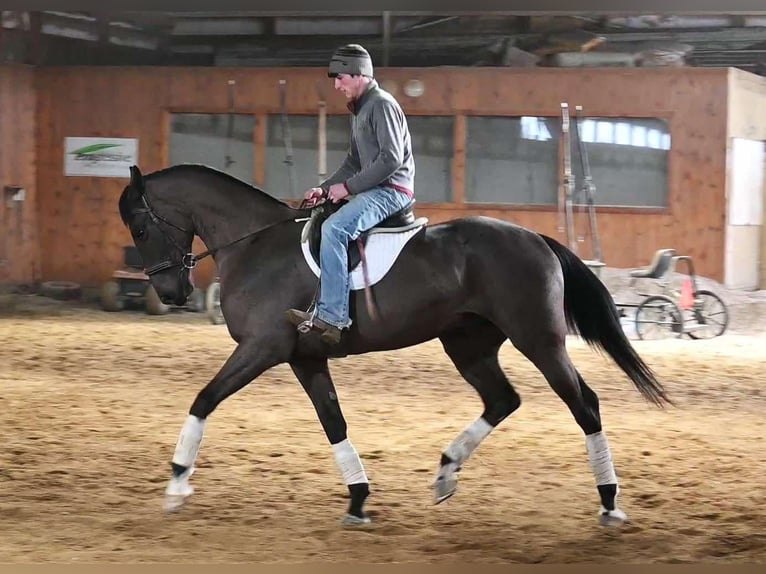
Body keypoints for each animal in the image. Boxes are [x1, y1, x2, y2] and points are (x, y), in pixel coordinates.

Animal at [118, 163, 670, 527]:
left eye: (141, 227)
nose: (170, 292)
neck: (254, 244)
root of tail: (537, 239)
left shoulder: (262, 348)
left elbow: (204, 398)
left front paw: (176, 483)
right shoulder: (306, 357)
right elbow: (334, 423)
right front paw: (359, 499)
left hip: (539, 339)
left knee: (584, 404)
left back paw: (609, 500)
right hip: (467, 344)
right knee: (502, 399)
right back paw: (446, 473)